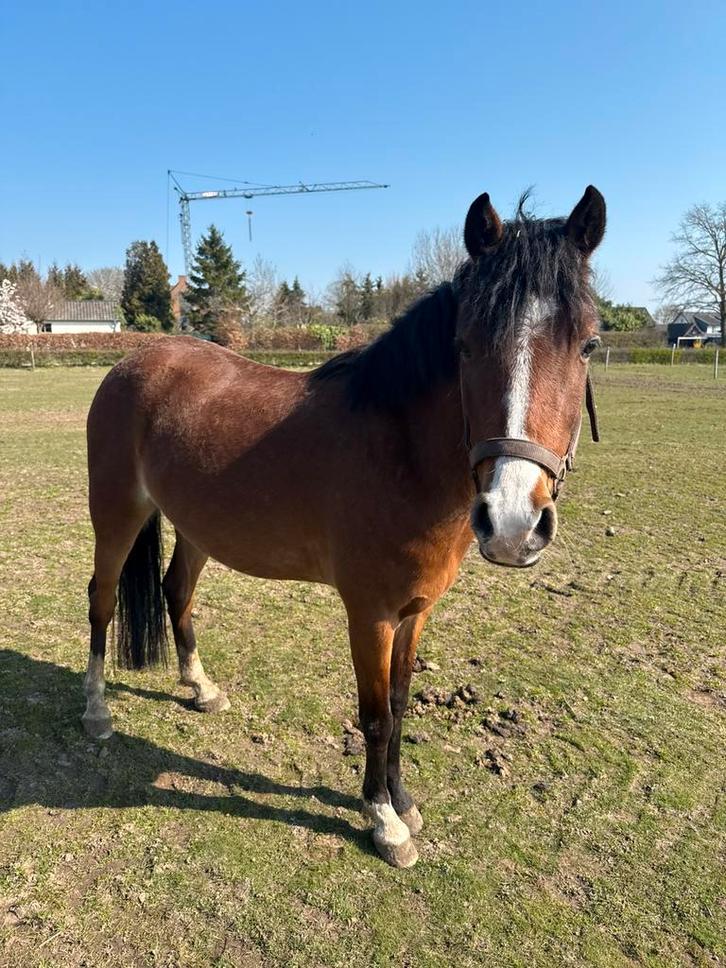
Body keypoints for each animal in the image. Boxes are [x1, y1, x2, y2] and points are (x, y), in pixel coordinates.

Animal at [82, 185, 606, 868]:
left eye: (588, 344)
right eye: (465, 344)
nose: (514, 522)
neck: (398, 452)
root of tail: (134, 359)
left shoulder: (414, 612)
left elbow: (402, 705)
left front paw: (401, 799)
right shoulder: (370, 615)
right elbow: (375, 714)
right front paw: (384, 821)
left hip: (195, 526)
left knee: (177, 591)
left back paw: (200, 688)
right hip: (116, 514)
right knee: (100, 601)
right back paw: (96, 711)